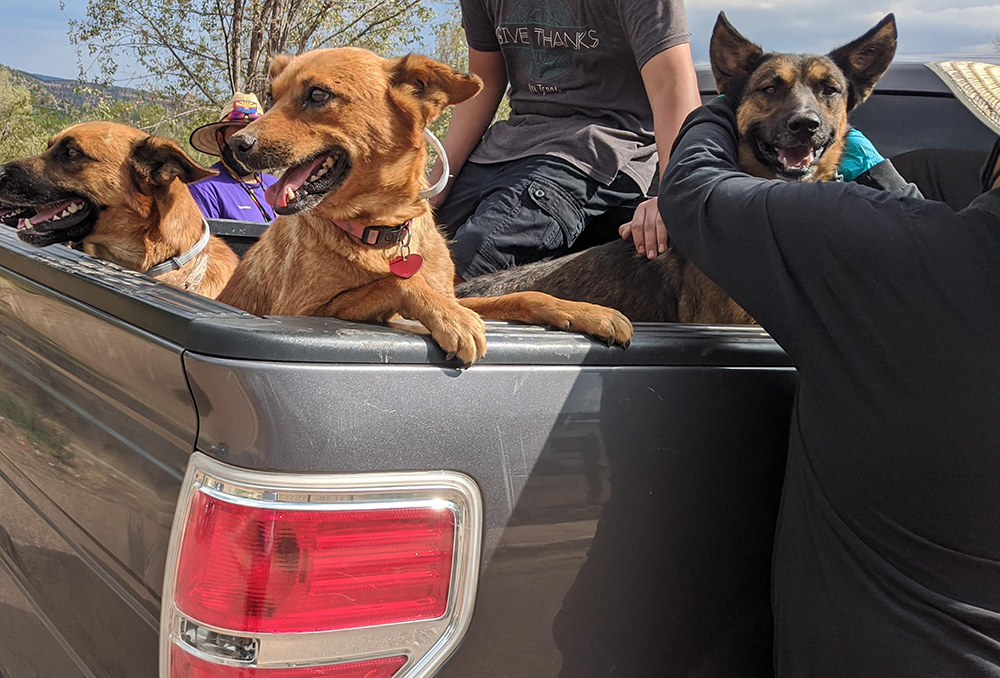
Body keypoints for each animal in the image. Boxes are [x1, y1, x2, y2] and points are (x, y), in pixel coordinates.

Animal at [217, 48, 632, 366]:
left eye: (318, 95)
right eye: (272, 98)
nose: (238, 144)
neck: (381, 231)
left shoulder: (458, 292)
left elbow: (526, 296)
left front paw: (589, 312)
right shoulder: (302, 311)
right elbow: (396, 282)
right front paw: (451, 319)